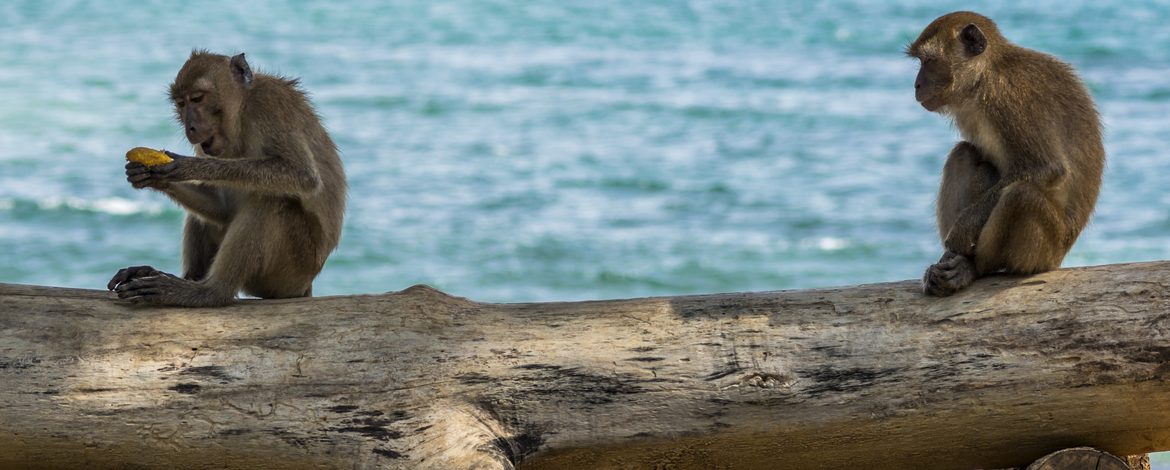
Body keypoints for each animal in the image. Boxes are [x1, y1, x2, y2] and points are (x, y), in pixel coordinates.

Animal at [107, 51, 346, 307]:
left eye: (197, 99)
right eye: (181, 104)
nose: (190, 127)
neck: (242, 112)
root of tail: (305, 284)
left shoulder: (269, 106)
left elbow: (302, 175)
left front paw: (189, 167)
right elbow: (221, 209)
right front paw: (149, 176)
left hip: (293, 269)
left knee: (272, 202)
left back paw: (209, 292)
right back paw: (184, 278)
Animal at [907, 12, 1104, 297]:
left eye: (929, 61)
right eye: (922, 62)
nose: (917, 84)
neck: (986, 73)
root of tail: (1059, 257)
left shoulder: (1009, 97)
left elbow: (1047, 168)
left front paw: (962, 231)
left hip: (1046, 250)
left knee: (1021, 196)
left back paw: (974, 268)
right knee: (963, 154)